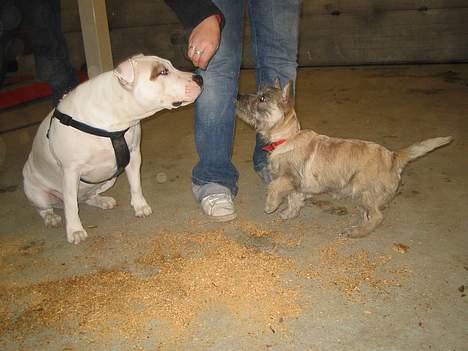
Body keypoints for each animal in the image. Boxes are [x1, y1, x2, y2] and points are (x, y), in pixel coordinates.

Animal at [23, 54, 203, 245]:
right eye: (162, 72)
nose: (199, 78)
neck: (116, 115)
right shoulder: (70, 171)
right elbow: (70, 204)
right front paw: (75, 230)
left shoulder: (133, 155)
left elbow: (136, 184)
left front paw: (140, 206)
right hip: (37, 193)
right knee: (47, 208)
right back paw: (51, 217)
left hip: (109, 179)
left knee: (85, 198)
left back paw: (102, 201)